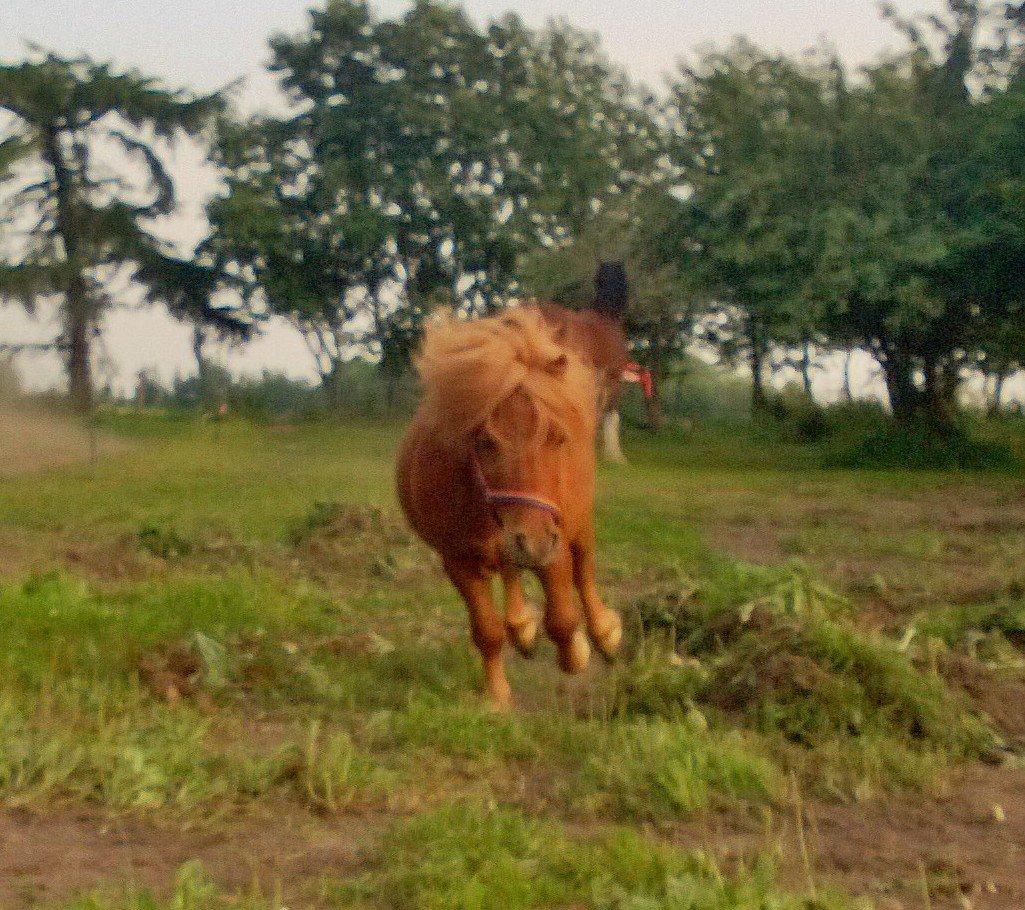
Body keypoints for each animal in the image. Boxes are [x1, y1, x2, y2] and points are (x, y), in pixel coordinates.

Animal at [393, 309, 619, 709]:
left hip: (575, 524)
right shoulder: (459, 560)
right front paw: (497, 696)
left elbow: (562, 617)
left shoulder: (553, 543)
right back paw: (522, 626)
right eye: (484, 441)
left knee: (584, 569)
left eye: (557, 438)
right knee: (510, 571)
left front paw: (578, 652)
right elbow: (487, 631)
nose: (532, 540)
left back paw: (604, 633)